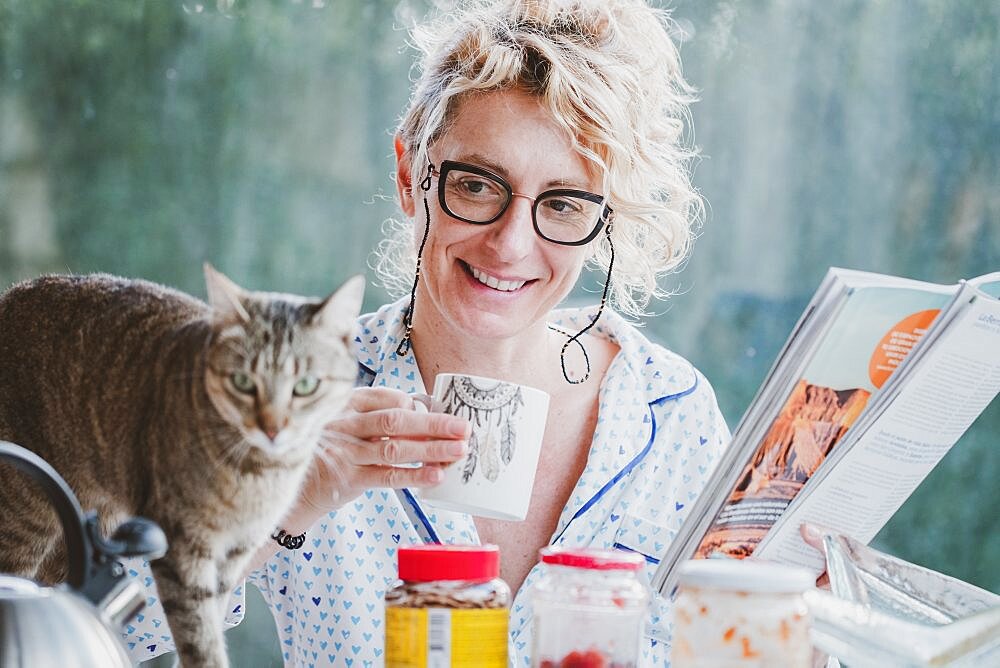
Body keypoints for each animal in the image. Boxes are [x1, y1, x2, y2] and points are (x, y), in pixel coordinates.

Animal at [0, 264, 364, 664]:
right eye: (243, 381)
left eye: (305, 386)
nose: (272, 428)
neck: (258, 476)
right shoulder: (183, 546)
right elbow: (197, 634)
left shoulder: (233, 554)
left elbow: (213, 618)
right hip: (25, 517)